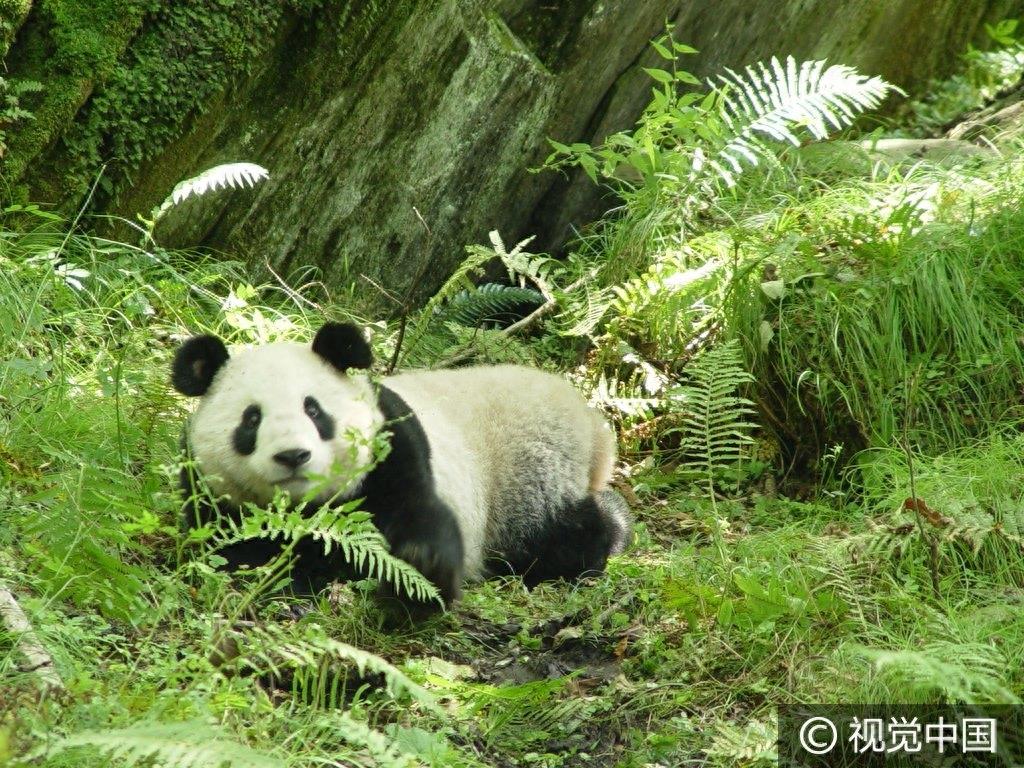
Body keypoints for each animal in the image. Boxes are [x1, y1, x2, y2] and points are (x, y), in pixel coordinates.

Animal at [172, 325, 626, 614]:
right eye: (252, 420)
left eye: (313, 410)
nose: (293, 456)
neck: (308, 509)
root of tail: (591, 424)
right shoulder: (213, 495)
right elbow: (235, 552)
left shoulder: (392, 450)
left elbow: (419, 514)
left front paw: (417, 574)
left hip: (524, 475)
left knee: (558, 535)